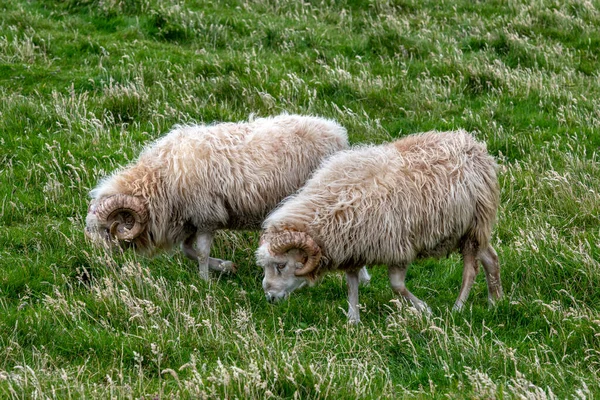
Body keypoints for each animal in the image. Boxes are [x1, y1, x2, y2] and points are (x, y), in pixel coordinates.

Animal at [85, 113, 370, 282]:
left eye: (107, 229)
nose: (101, 262)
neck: (160, 179)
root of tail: (337, 133)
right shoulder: (192, 220)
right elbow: (188, 250)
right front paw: (225, 267)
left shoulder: (206, 215)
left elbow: (200, 252)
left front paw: (205, 281)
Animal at [256, 130, 502, 324]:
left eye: (281, 265)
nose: (269, 298)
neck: (331, 208)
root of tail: (473, 144)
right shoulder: (354, 247)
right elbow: (352, 282)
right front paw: (353, 319)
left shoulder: (399, 247)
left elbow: (396, 285)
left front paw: (425, 309)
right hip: (468, 231)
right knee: (491, 257)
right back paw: (495, 302)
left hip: (473, 226)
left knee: (471, 269)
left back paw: (458, 307)